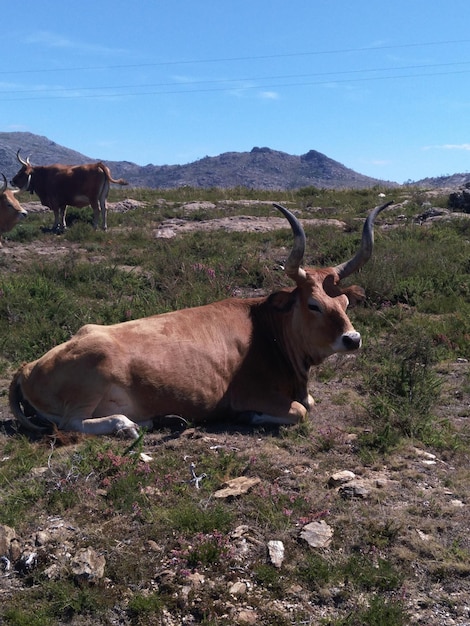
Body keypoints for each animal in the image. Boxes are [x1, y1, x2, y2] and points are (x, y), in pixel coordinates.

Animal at [10, 202, 392, 436]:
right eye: (313, 304)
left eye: (344, 301)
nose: (352, 339)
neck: (268, 332)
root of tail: (27, 367)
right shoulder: (253, 395)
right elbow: (300, 410)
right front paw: (252, 417)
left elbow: (308, 403)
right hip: (93, 372)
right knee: (71, 423)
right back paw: (125, 425)